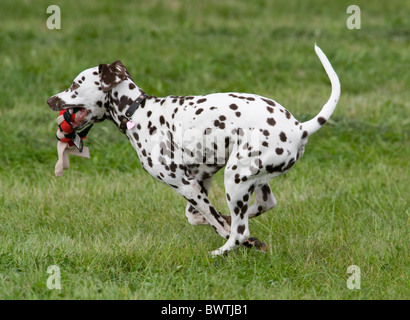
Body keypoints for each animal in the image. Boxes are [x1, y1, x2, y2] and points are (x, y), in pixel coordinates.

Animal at [47, 45, 340, 256]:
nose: (49, 100)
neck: (138, 112)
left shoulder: (187, 186)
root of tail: (300, 127)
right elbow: (198, 217)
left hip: (234, 178)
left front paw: (237, 237)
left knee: (239, 232)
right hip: (253, 179)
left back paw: (221, 252)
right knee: (262, 206)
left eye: (75, 85)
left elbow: (218, 223)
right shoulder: (201, 180)